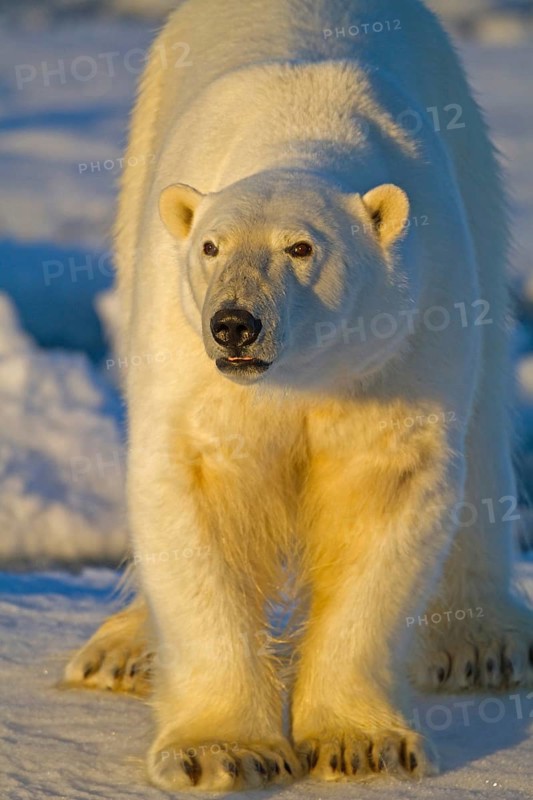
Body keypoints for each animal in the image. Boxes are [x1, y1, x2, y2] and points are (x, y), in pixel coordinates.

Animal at [64, 0, 533, 792]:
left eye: (301, 247)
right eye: (211, 247)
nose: (234, 324)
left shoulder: (401, 337)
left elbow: (382, 488)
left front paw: (360, 745)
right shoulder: (188, 353)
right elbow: (199, 485)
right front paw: (220, 750)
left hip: (471, 166)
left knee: (484, 414)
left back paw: (482, 642)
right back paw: (121, 651)